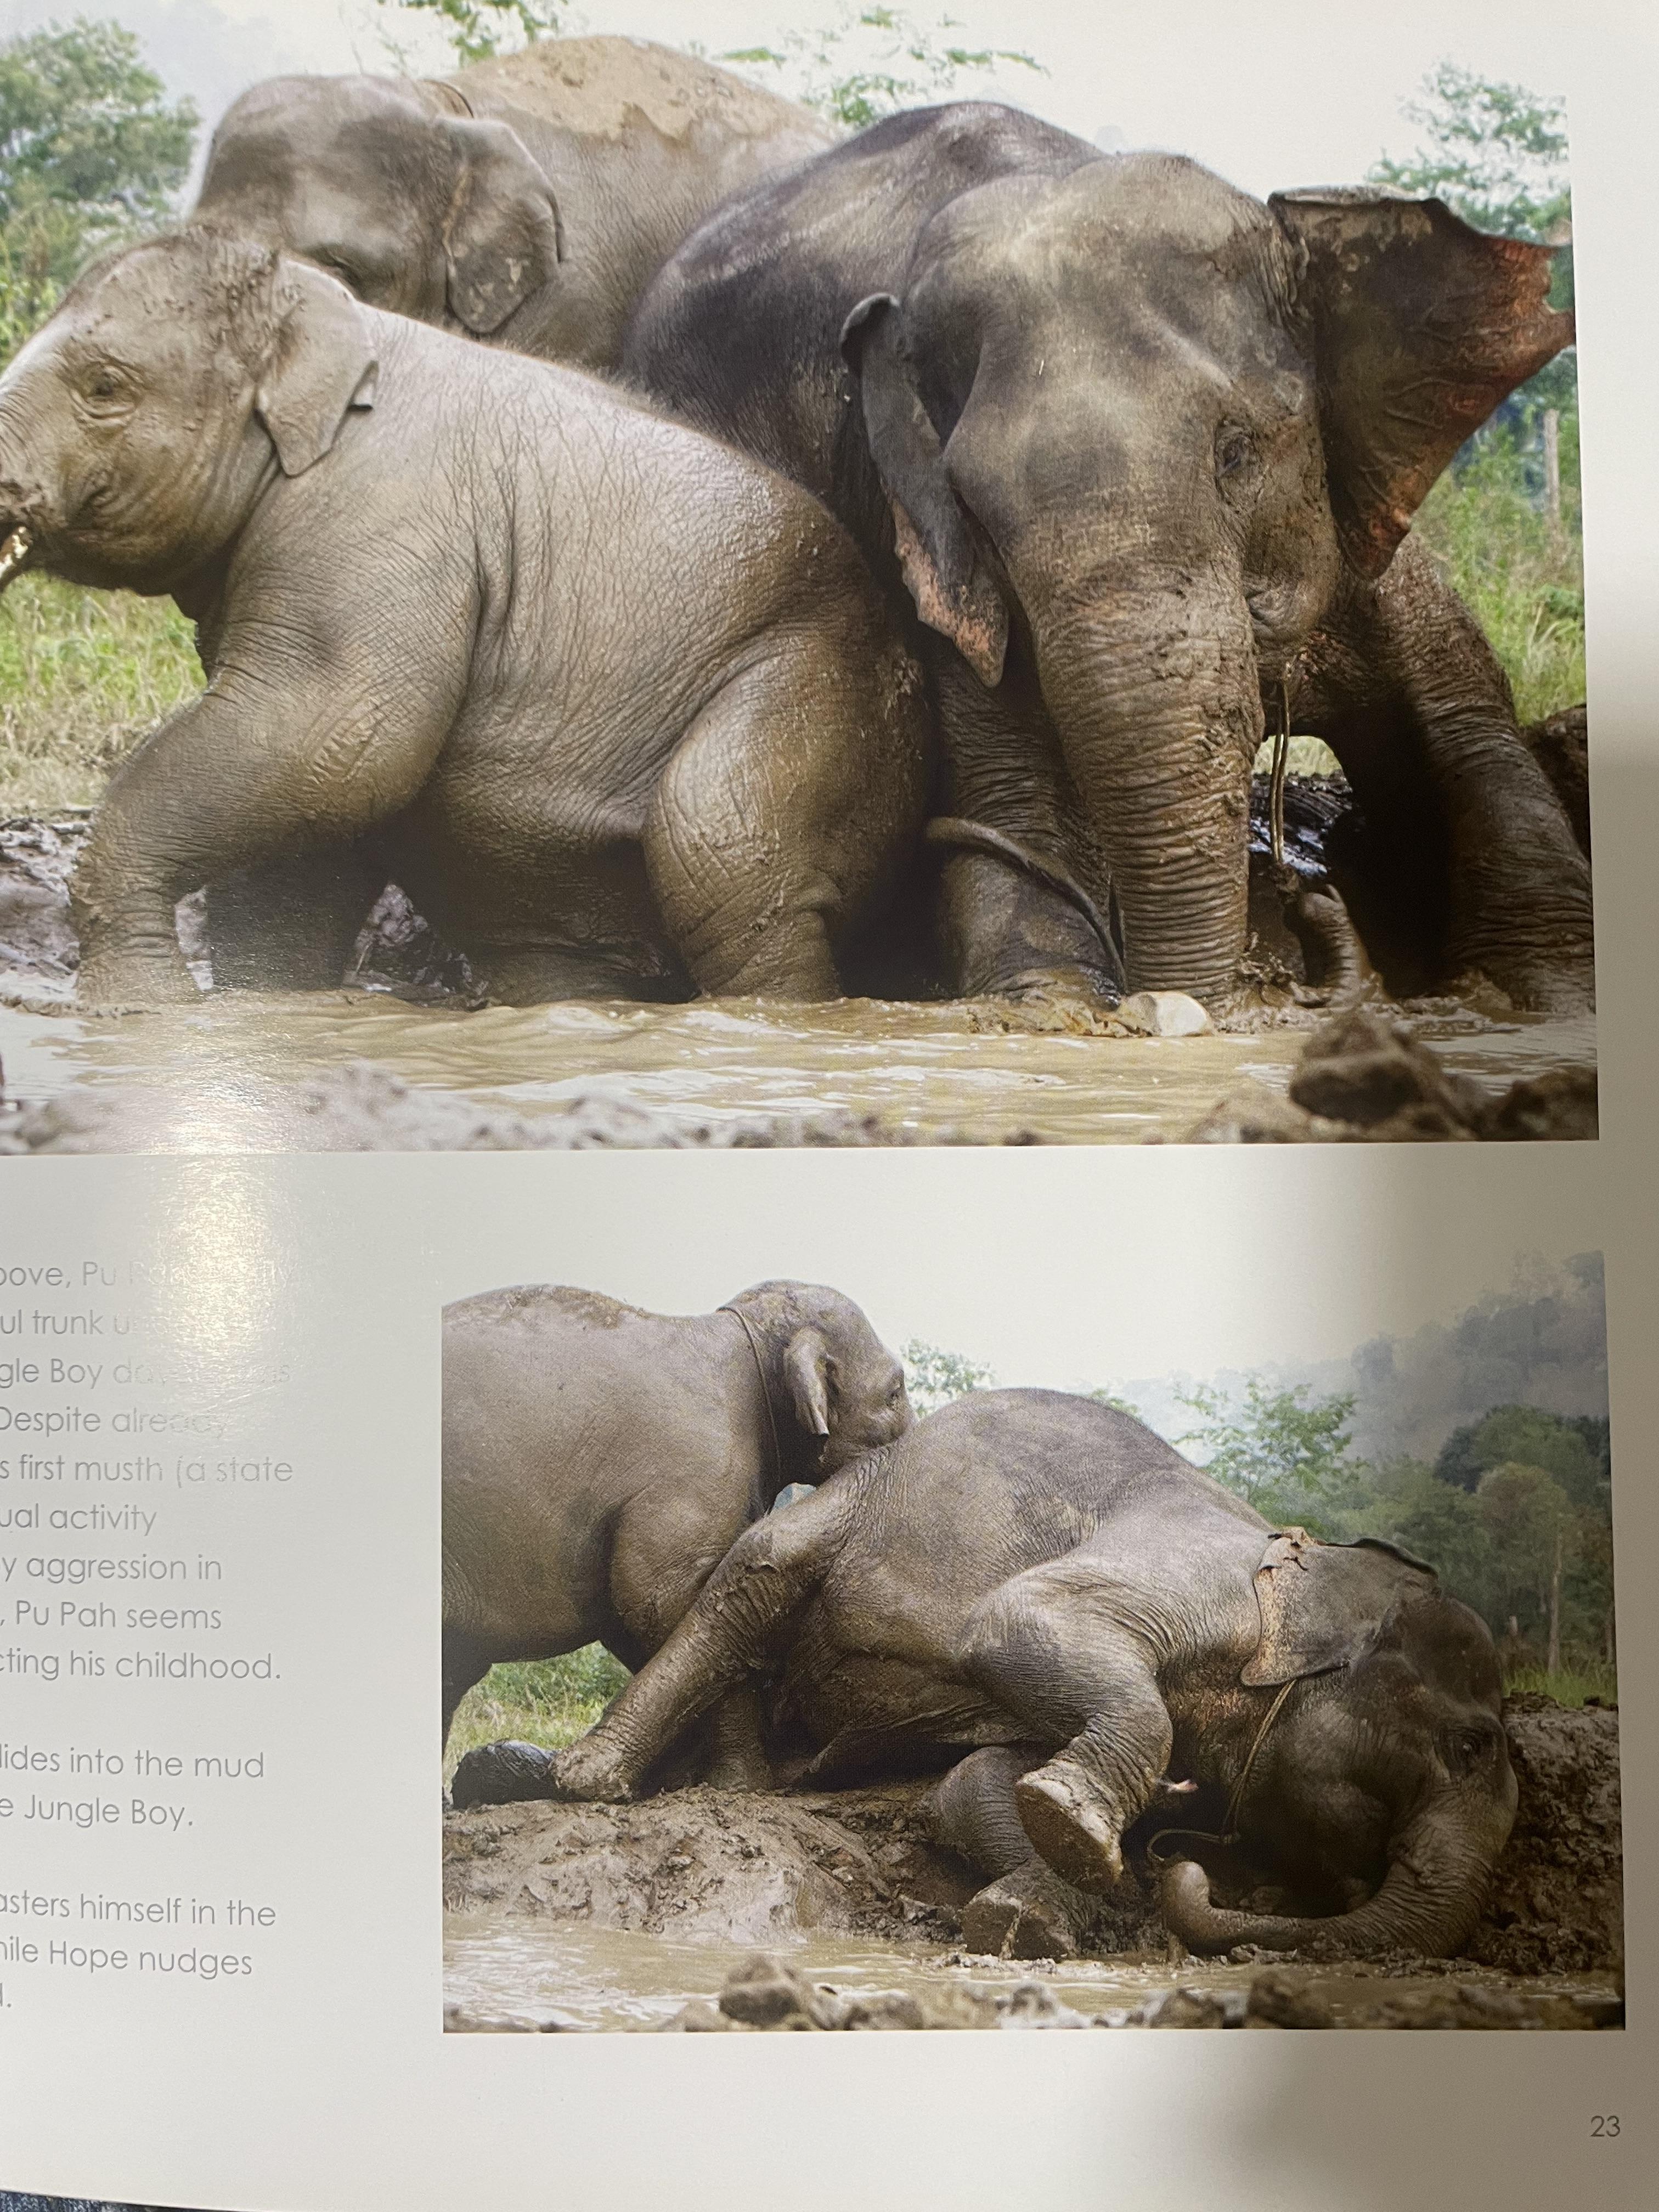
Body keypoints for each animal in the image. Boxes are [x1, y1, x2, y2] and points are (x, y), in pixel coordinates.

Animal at [0, 229, 929, 1008]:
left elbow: (337, 742)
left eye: (104, 386)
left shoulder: (375, 522)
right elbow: (305, 829)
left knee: (725, 860)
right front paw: (255, 1018)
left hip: (817, 683)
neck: (326, 313)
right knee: (552, 951)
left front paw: (142, 1015)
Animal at [553, 1389, 1517, 1962]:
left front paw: (1034, 1908)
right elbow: (1015, 1618)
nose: (1184, 1864)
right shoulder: (1193, 1574)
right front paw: (1068, 1838)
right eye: (1470, 1745)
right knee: (751, 1583)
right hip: (843, 1507)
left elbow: (971, 1781)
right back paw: (597, 1779)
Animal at [622, 103, 1595, 1013]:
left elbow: (1473, 747)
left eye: (1235, 453)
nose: (1306, 898)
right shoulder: (931, 560)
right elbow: (1018, 806)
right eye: (973, 504)